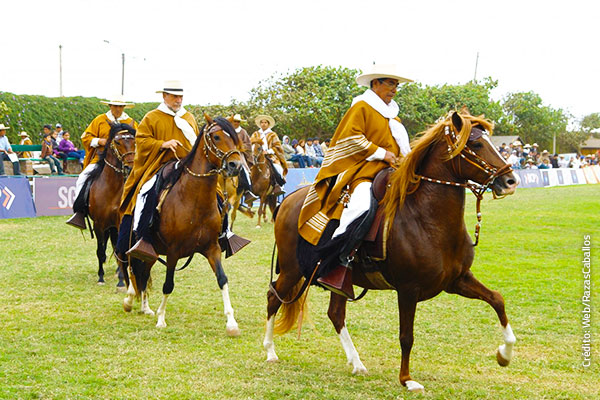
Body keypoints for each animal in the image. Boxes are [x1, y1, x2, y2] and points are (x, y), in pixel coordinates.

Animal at [86, 123, 135, 286]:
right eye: (118, 142)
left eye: (134, 141)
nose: (130, 167)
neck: (111, 188)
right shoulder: (98, 224)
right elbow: (100, 251)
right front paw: (101, 277)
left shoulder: (119, 223)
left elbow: (119, 249)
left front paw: (121, 279)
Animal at [123, 115, 245, 334]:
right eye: (216, 137)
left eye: (234, 138)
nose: (235, 165)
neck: (194, 201)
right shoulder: (173, 251)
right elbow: (168, 285)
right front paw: (161, 319)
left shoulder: (212, 248)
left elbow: (222, 279)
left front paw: (231, 323)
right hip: (141, 245)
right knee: (133, 268)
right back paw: (129, 300)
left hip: (153, 251)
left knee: (144, 272)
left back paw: (145, 307)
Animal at [262, 111, 520, 392]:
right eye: (475, 143)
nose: (510, 181)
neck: (427, 219)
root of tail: (288, 199)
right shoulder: (408, 289)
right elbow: (406, 336)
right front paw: (407, 379)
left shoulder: (457, 280)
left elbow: (497, 299)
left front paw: (504, 355)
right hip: (291, 270)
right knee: (273, 298)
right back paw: (270, 351)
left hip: (338, 281)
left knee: (335, 314)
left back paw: (357, 363)